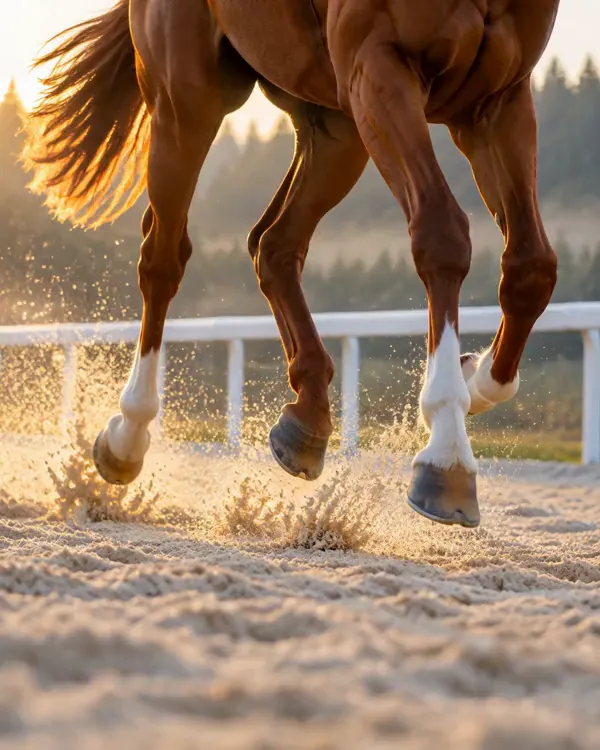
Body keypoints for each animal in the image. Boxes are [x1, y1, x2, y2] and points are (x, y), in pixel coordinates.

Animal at [22, 0, 560, 528]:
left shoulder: (498, 100)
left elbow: (532, 267)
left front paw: (473, 376)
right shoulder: (380, 65)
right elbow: (442, 233)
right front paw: (447, 448)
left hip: (337, 124)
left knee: (274, 245)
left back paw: (308, 416)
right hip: (189, 102)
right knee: (163, 259)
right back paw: (128, 434)